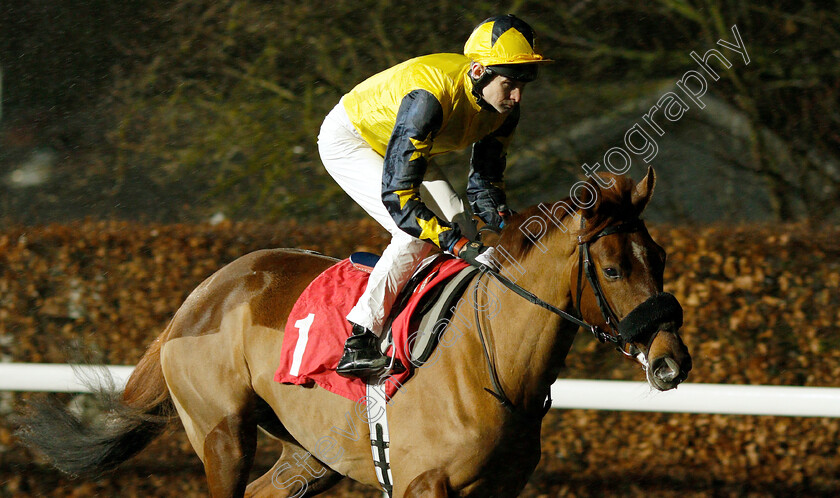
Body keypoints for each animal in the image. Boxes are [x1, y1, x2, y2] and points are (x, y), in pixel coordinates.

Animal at [18, 166, 688, 494]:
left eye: (658, 258)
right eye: (611, 268)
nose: (671, 361)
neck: (490, 361)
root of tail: (200, 295)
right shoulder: (425, 484)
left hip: (312, 453)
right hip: (222, 434)